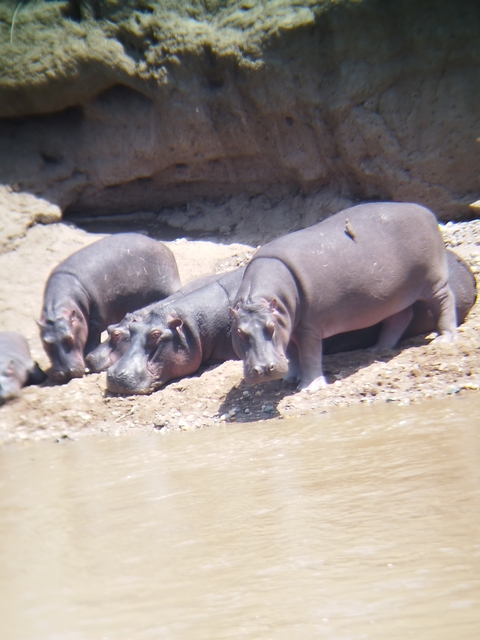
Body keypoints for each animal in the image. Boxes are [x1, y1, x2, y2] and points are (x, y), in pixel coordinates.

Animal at [39, 233, 181, 384]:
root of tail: (163, 246)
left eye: (70, 338)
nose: (65, 373)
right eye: (46, 343)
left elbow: (91, 340)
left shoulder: (94, 321)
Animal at [230, 202, 457, 393]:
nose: (263, 369)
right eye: (239, 332)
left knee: (445, 301)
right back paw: (377, 349)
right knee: (400, 316)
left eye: (270, 327)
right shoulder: (289, 326)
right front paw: (290, 378)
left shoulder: (306, 328)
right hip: (395, 295)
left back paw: (444, 339)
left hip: (433, 282)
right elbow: (293, 354)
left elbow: (309, 355)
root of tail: (427, 212)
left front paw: (309, 387)